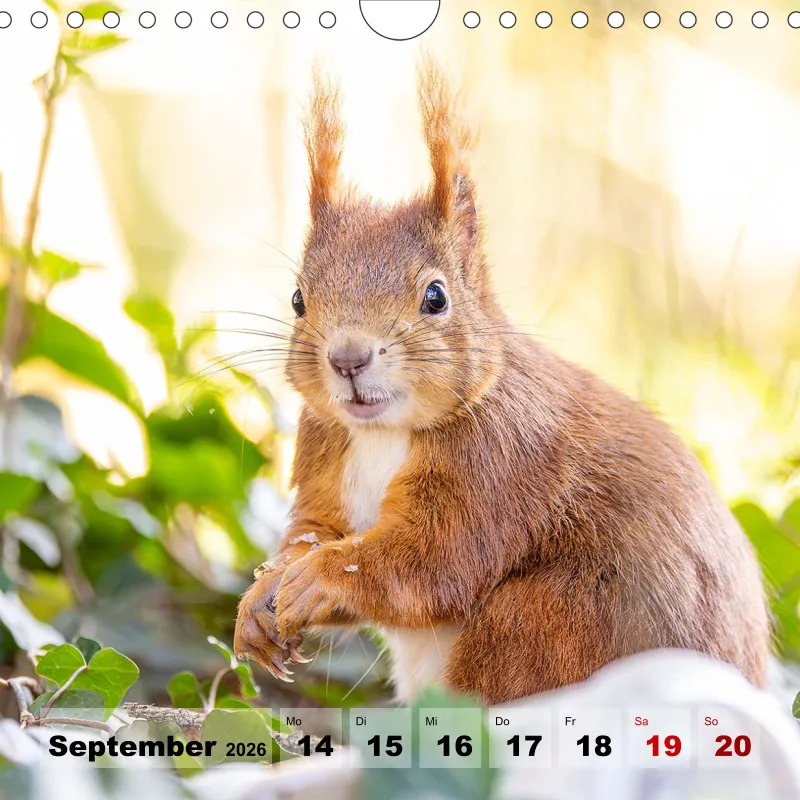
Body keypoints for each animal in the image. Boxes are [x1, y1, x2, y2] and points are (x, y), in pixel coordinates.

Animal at [232, 59, 771, 705]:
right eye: (297, 299)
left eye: (435, 297)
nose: (348, 358)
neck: (384, 433)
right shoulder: (324, 449)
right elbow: (317, 529)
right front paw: (262, 595)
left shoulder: (499, 465)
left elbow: (432, 564)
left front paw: (320, 576)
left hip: (543, 623)